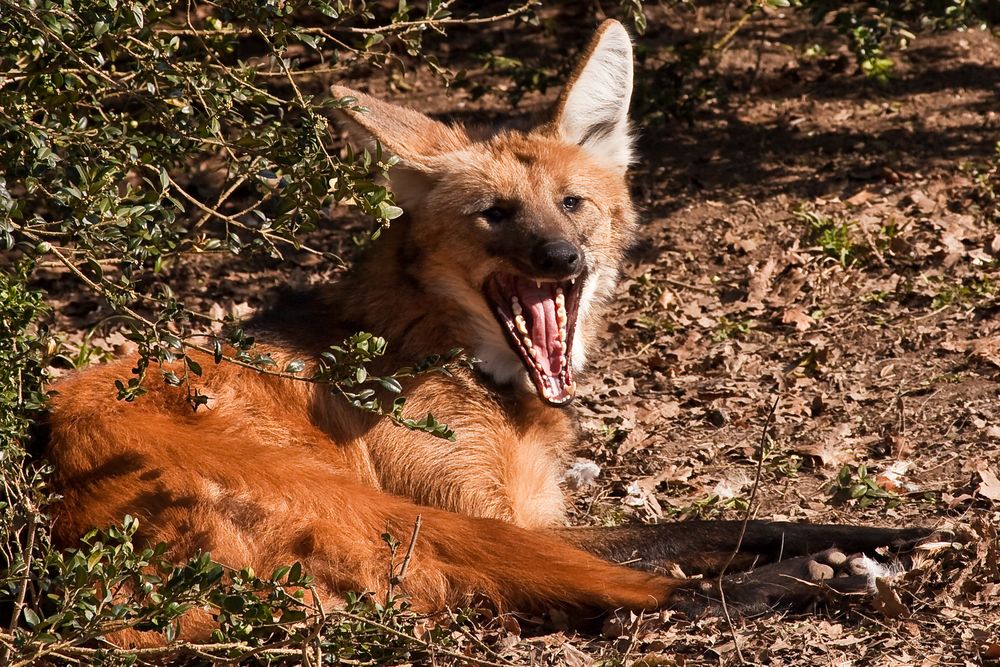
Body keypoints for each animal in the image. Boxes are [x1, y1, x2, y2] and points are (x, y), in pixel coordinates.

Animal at [45, 18, 920, 640]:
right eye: (495, 215)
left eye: (572, 202)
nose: (562, 257)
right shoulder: (478, 505)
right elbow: (672, 550)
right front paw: (858, 554)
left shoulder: (535, 511)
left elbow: (711, 521)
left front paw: (895, 529)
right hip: (386, 510)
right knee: (645, 601)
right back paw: (824, 582)